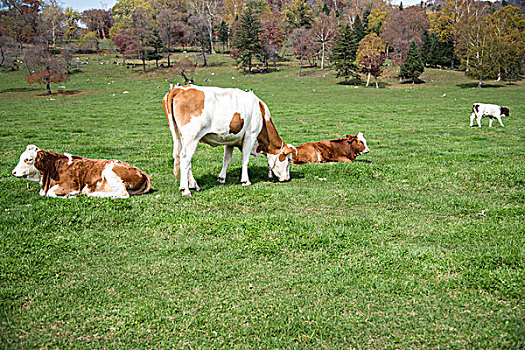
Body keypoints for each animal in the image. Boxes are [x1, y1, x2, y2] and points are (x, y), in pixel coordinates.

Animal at [11, 144, 151, 198]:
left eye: (28, 159)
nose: (13, 172)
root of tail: (142, 172)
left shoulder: (69, 185)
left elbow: (51, 193)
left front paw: (71, 195)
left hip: (111, 172)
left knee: (122, 193)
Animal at [162, 83, 294, 196]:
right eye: (288, 160)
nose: (287, 178)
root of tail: (180, 88)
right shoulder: (250, 135)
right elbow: (245, 159)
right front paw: (245, 181)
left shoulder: (230, 139)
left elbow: (227, 159)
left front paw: (221, 178)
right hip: (192, 137)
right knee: (185, 159)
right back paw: (185, 189)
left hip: (180, 136)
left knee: (183, 159)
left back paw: (194, 185)